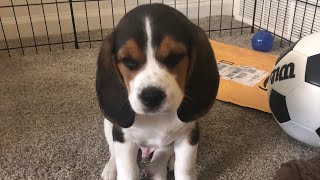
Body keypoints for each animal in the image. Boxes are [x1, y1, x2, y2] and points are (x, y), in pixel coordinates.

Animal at [96, 3, 219, 180]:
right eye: (128, 61)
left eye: (174, 57)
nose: (151, 97)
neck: (156, 118)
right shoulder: (123, 137)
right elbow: (128, 170)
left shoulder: (189, 134)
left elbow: (185, 169)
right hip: (108, 123)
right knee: (113, 150)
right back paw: (111, 169)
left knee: (163, 152)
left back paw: (159, 167)